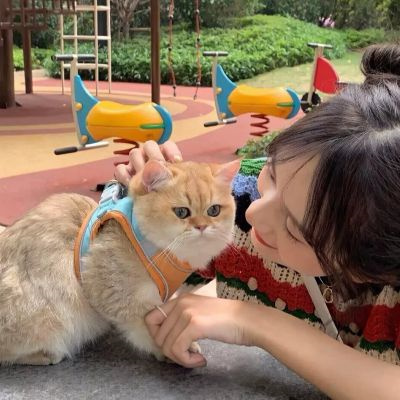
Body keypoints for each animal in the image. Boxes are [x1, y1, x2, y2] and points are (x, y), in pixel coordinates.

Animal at [0, 160, 238, 365]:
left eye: (214, 210)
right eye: (181, 212)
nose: (202, 227)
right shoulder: (119, 296)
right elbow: (148, 329)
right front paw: (170, 350)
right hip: (53, 316)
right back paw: (45, 355)